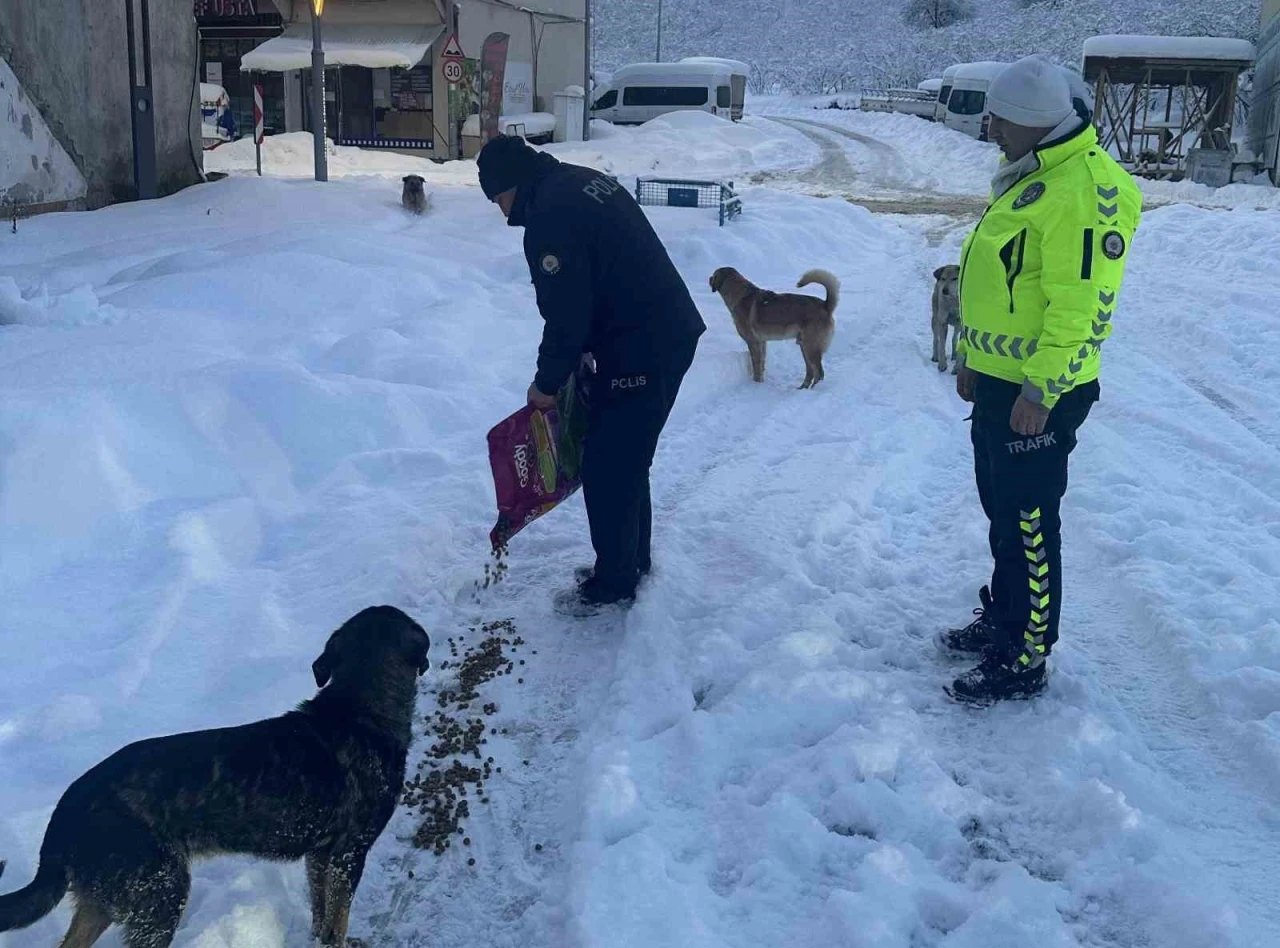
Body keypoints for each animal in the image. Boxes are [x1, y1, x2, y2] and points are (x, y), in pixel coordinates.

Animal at [0, 606, 430, 946]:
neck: (360, 710)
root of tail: (64, 816)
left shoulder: (320, 857)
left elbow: (320, 915)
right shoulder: (348, 853)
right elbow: (337, 921)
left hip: (105, 900)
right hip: (161, 893)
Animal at [711, 266, 839, 388]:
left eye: (713, 275)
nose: (708, 278)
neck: (741, 295)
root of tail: (826, 305)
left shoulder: (753, 342)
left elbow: (756, 367)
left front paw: (756, 384)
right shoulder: (762, 343)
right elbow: (762, 365)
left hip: (810, 347)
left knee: (819, 373)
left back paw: (813, 390)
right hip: (804, 346)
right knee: (810, 371)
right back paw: (802, 388)